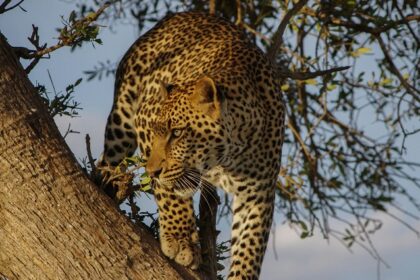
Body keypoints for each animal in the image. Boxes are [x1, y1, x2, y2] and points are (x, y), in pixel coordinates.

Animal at [101, 11, 286, 280]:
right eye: (157, 132)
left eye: (177, 133)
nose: (152, 171)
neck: (227, 157)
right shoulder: (144, 119)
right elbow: (169, 194)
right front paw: (180, 241)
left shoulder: (258, 193)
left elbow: (249, 248)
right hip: (122, 120)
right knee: (107, 160)